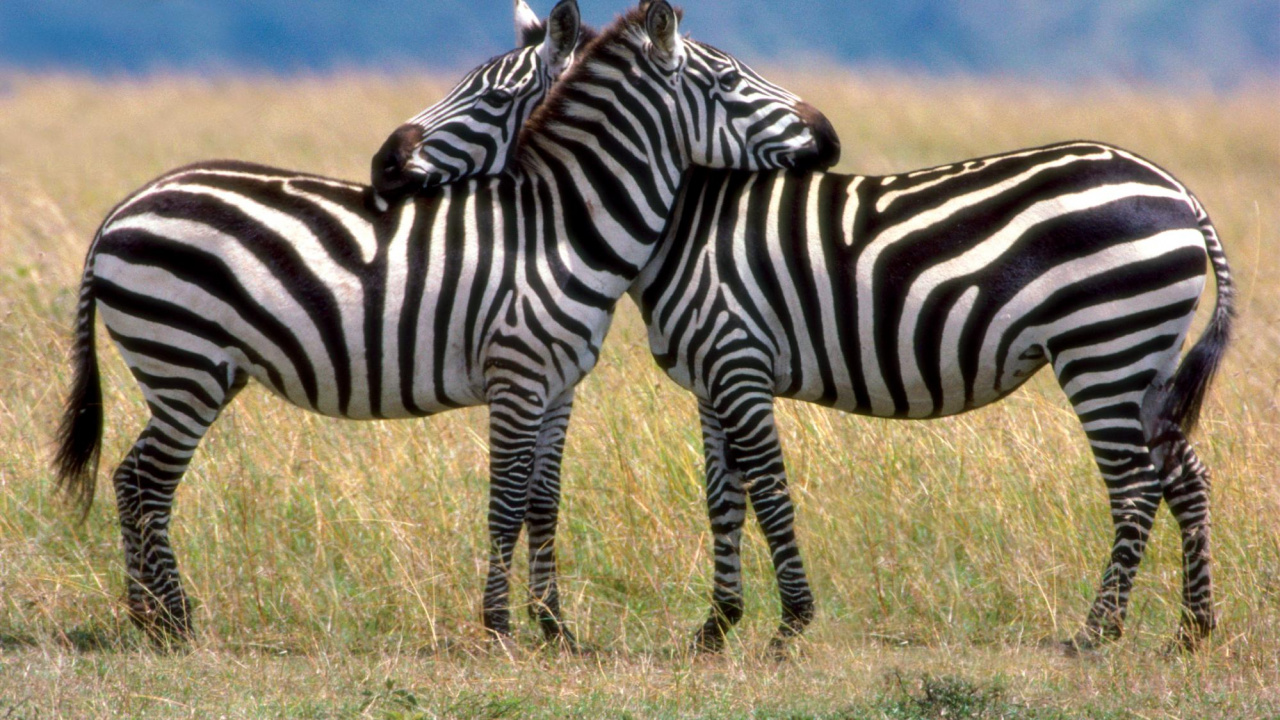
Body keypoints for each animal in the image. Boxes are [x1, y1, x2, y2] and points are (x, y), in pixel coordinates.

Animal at [52, 0, 839, 647]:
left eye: (491, 95)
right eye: (733, 82)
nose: (829, 136)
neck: (561, 226)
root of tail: (122, 209)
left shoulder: (559, 385)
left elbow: (543, 502)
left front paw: (555, 630)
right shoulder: (517, 374)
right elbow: (505, 500)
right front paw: (498, 628)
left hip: (193, 369)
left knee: (135, 479)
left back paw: (155, 617)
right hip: (183, 363)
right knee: (142, 482)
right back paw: (168, 623)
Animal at [631, 142, 1233, 653]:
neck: (684, 228)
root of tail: (1180, 194)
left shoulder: (736, 358)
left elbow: (765, 496)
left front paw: (781, 629)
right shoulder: (712, 378)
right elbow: (723, 501)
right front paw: (714, 629)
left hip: (1105, 347)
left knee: (1135, 489)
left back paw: (1096, 633)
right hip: (1149, 367)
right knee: (1186, 480)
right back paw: (1192, 631)